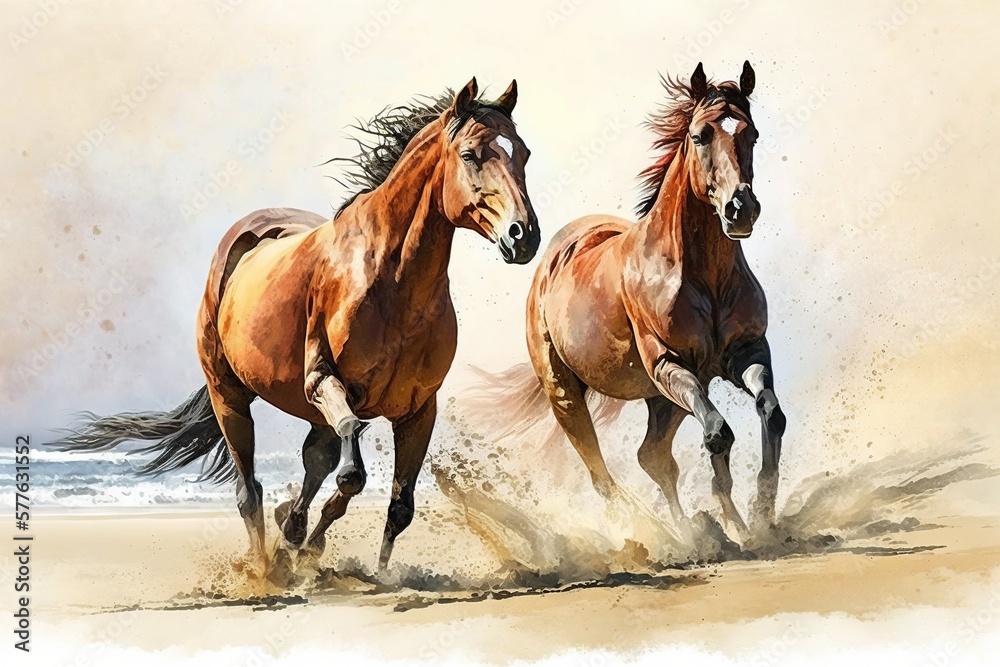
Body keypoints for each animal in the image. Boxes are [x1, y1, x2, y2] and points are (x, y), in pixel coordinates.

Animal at [50, 77, 540, 572]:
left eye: (523, 152)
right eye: (470, 154)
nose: (524, 236)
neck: (392, 280)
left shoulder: (418, 410)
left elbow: (394, 506)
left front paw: (360, 566)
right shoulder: (323, 381)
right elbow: (351, 474)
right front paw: (298, 542)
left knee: (314, 463)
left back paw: (292, 536)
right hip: (229, 396)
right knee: (250, 490)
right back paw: (265, 567)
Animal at [468, 62, 785, 537]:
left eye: (753, 135)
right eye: (700, 135)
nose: (739, 209)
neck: (700, 274)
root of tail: (550, 261)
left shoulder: (742, 354)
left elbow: (770, 415)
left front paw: (760, 515)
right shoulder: (669, 364)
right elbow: (718, 433)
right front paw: (738, 524)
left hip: (661, 401)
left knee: (652, 457)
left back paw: (694, 531)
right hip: (566, 394)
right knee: (603, 472)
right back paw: (670, 536)